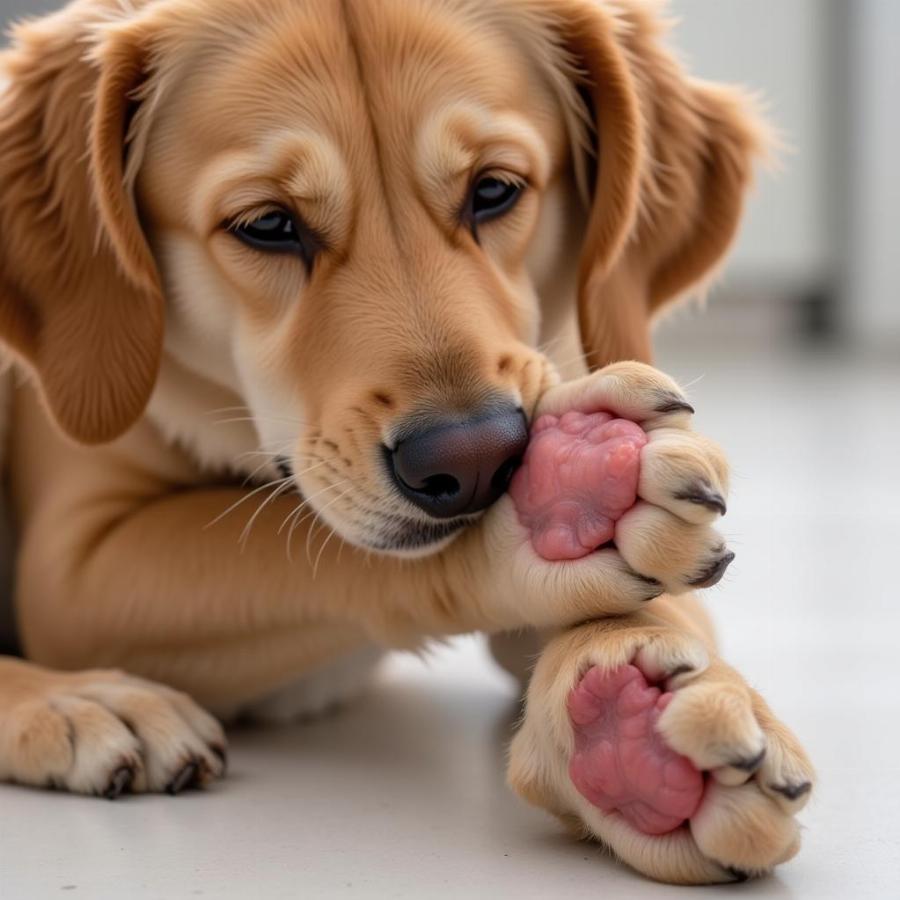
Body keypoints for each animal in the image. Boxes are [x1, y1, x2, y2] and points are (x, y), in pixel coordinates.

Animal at [0, 0, 816, 884]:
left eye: (494, 190)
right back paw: (82, 704)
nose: (480, 458)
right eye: (267, 225)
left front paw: (640, 699)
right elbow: (306, 551)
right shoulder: (71, 572)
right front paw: (539, 532)